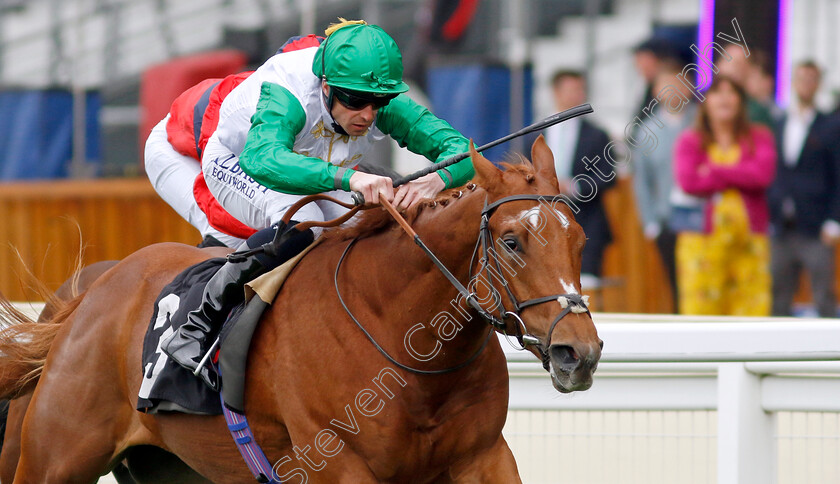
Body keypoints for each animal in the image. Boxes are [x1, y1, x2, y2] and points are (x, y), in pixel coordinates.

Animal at [0, 138, 600, 482]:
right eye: (512, 242)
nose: (580, 352)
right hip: (57, 455)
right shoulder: (339, 463)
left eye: (580, 240)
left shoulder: (483, 456)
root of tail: (89, 293)